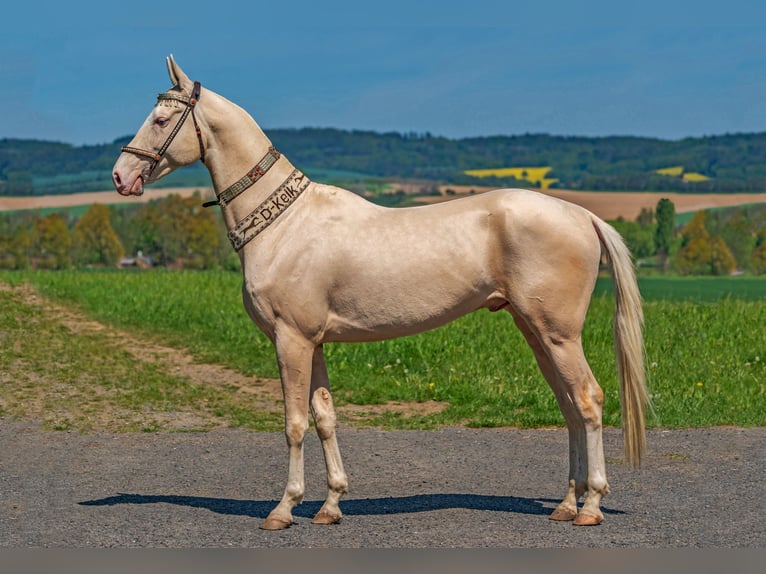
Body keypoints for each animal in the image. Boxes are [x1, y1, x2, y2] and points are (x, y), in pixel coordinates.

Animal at [111, 56, 648, 532]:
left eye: (161, 119)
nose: (120, 177)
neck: (285, 223)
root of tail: (582, 215)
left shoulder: (291, 340)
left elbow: (294, 422)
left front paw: (284, 509)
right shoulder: (314, 343)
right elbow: (325, 417)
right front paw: (330, 506)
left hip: (558, 335)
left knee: (588, 400)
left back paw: (591, 507)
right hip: (536, 331)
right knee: (569, 405)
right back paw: (566, 504)